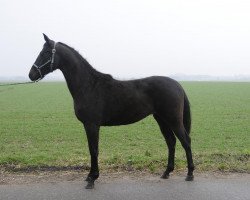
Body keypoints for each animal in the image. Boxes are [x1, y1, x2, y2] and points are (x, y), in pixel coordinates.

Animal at [28, 34, 193, 189]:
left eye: (45, 53)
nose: (31, 74)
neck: (89, 86)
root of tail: (177, 84)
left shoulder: (92, 125)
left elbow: (94, 150)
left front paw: (92, 179)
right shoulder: (88, 126)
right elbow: (91, 149)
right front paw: (89, 176)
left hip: (173, 120)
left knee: (185, 141)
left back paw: (190, 174)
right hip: (161, 119)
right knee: (171, 142)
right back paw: (166, 172)